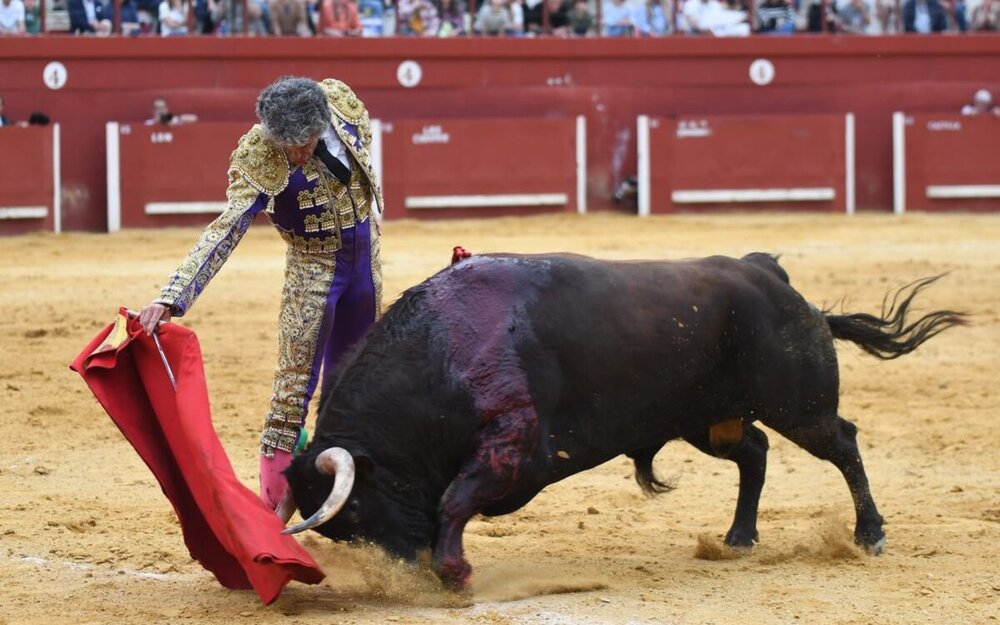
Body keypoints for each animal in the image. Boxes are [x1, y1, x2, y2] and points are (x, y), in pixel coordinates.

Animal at [278, 251, 964, 588]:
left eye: (356, 512)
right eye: (342, 535)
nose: (398, 578)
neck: (442, 353)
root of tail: (766, 272)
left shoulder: (511, 442)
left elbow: (454, 500)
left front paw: (456, 573)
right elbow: (451, 501)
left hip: (799, 404)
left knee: (842, 443)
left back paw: (869, 536)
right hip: (705, 420)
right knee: (755, 452)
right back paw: (738, 538)